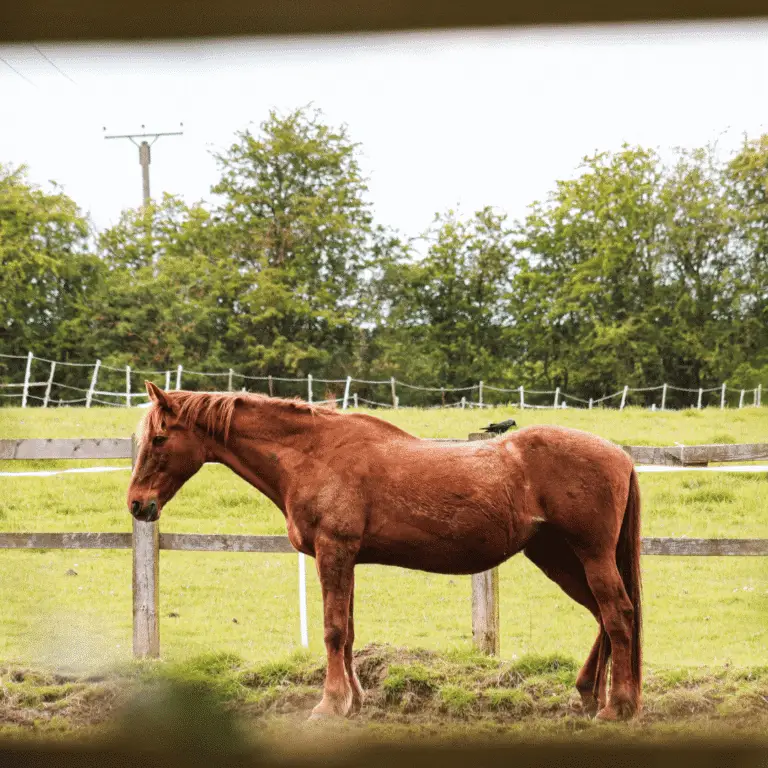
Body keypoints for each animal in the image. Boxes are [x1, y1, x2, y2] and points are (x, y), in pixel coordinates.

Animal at [127, 388, 640, 724]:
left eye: (159, 439)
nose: (136, 504)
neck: (314, 454)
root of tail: (621, 456)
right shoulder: (345, 558)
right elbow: (349, 632)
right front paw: (353, 701)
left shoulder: (333, 551)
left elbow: (333, 631)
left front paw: (329, 704)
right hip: (556, 558)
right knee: (605, 616)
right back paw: (592, 695)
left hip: (589, 556)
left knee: (618, 613)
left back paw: (619, 706)